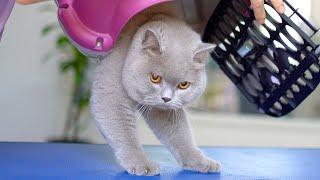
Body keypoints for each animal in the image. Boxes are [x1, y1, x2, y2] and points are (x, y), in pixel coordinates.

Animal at [90, 1, 220, 176]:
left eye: (183, 85)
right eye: (155, 77)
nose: (166, 98)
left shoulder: (164, 111)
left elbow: (180, 134)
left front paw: (201, 161)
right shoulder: (111, 91)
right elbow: (125, 131)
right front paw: (142, 164)